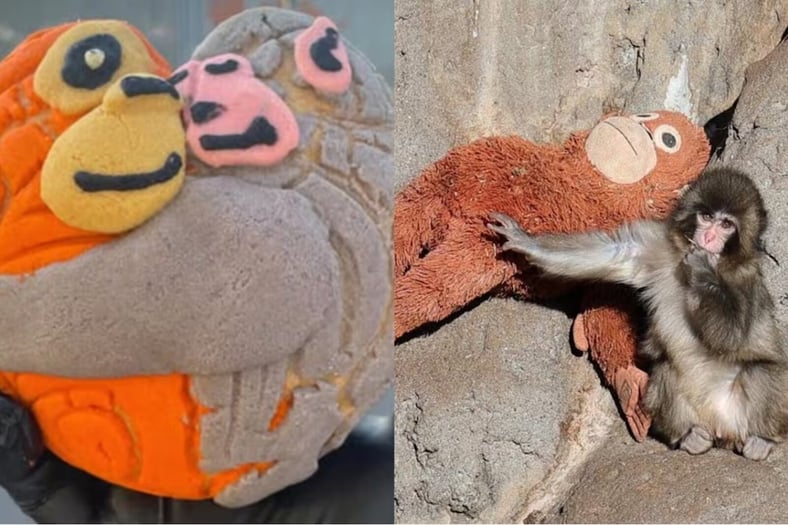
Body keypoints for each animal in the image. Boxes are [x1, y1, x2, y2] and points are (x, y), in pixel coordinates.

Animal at [487, 166, 788, 460]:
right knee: (665, 368)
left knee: (760, 370)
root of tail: (721, 430)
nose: (709, 237)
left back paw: (761, 440)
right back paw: (689, 437)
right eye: (706, 217)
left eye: (726, 225)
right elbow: (616, 253)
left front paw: (703, 267)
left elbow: (732, 338)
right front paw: (523, 240)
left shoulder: (746, 279)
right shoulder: (657, 245)